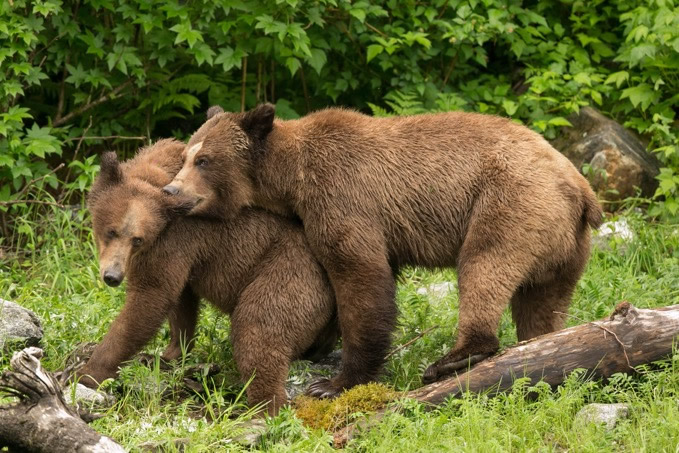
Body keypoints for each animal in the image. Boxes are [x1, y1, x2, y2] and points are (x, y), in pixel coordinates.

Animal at [78, 137, 338, 414]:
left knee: (258, 325)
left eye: (137, 239)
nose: (113, 276)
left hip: (290, 273)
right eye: (111, 231)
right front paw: (167, 354)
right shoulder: (184, 254)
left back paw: (263, 406)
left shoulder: (172, 240)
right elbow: (180, 302)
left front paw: (87, 372)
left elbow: (149, 298)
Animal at [165, 104, 604, 398]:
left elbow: (361, 280)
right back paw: (543, 346)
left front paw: (333, 382)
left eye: (205, 160)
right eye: (186, 154)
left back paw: (456, 356)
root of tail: (581, 187)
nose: (171, 191)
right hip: (565, 245)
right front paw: (318, 347)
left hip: (511, 202)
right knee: (542, 302)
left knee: (485, 266)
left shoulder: (342, 197)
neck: (291, 180)